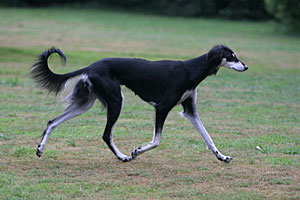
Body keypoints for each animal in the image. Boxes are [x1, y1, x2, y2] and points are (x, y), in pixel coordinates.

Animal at [30, 44, 247, 162]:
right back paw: (122, 156)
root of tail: (91, 66)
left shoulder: (190, 111)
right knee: (106, 134)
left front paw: (222, 157)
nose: (245, 66)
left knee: (52, 122)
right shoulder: (162, 107)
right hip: (116, 101)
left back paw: (40, 149)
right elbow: (157, 141)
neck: (191, 70)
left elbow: (208, 137)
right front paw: (136, 151)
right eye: (232, 56)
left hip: (85, 103)